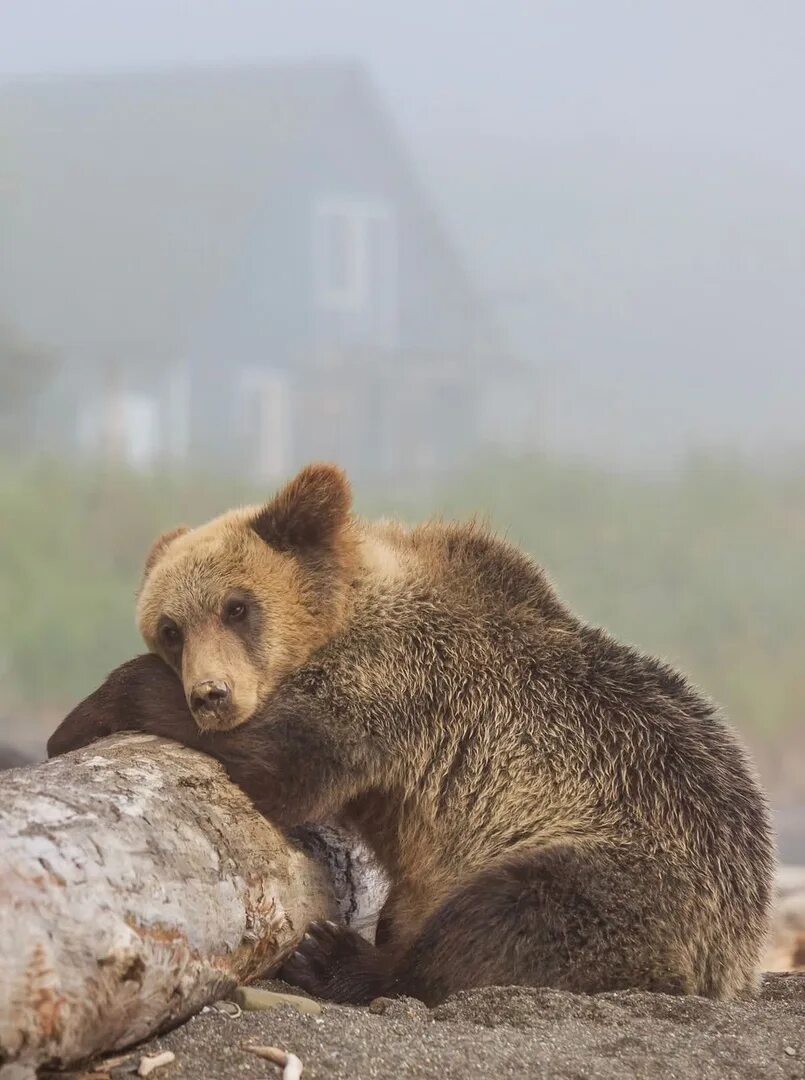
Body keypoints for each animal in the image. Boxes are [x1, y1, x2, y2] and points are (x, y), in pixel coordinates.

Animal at [47, 466, 773, 1010]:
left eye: (237, 606)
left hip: (626, 865)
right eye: (171, 628)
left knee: (508, 916)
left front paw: (84, 713)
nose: (211, 695)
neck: (342, 616)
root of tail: (737, 953)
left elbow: (280, 766)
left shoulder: (396, 680)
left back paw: (339, 958)